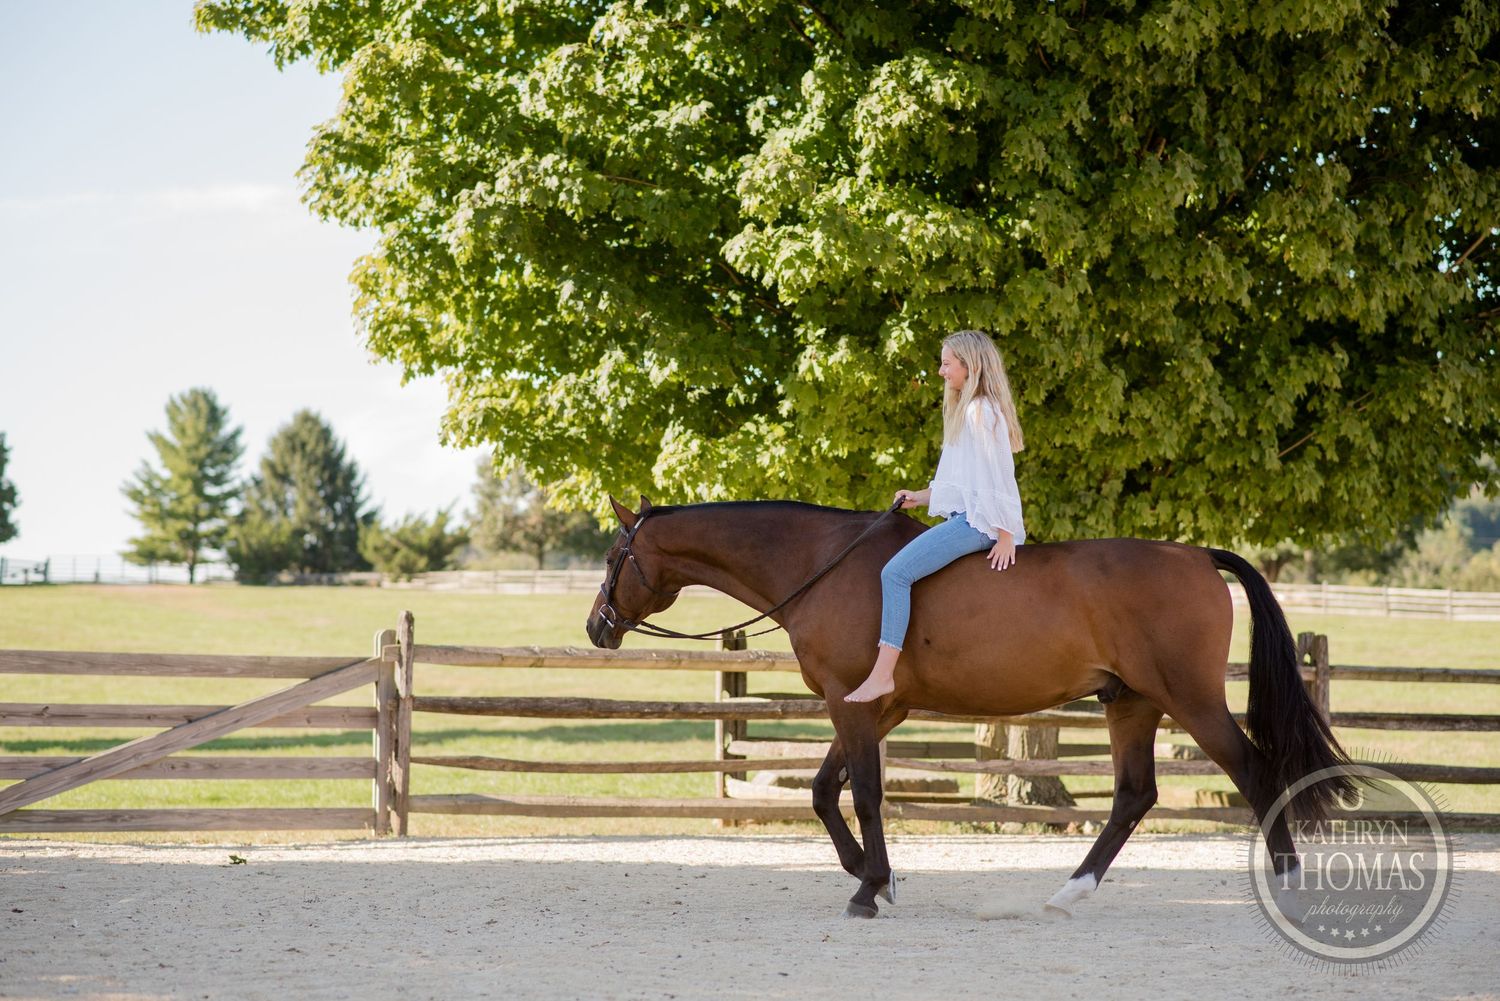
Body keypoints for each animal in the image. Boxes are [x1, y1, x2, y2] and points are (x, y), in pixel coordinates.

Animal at [585, 496, 1352, 920]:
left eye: (613, 553)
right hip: (1130, 703)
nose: (597, 627)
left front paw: (870, 887)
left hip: (1187, 698)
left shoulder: (851, 705)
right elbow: (825, 792)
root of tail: (1195, 555)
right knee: (1135, 794)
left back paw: (1288, 881)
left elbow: (863, 794)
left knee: (1254, 771)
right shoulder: (873, 708)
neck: (824, 565)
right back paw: (1069, 892)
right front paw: (873, 874)